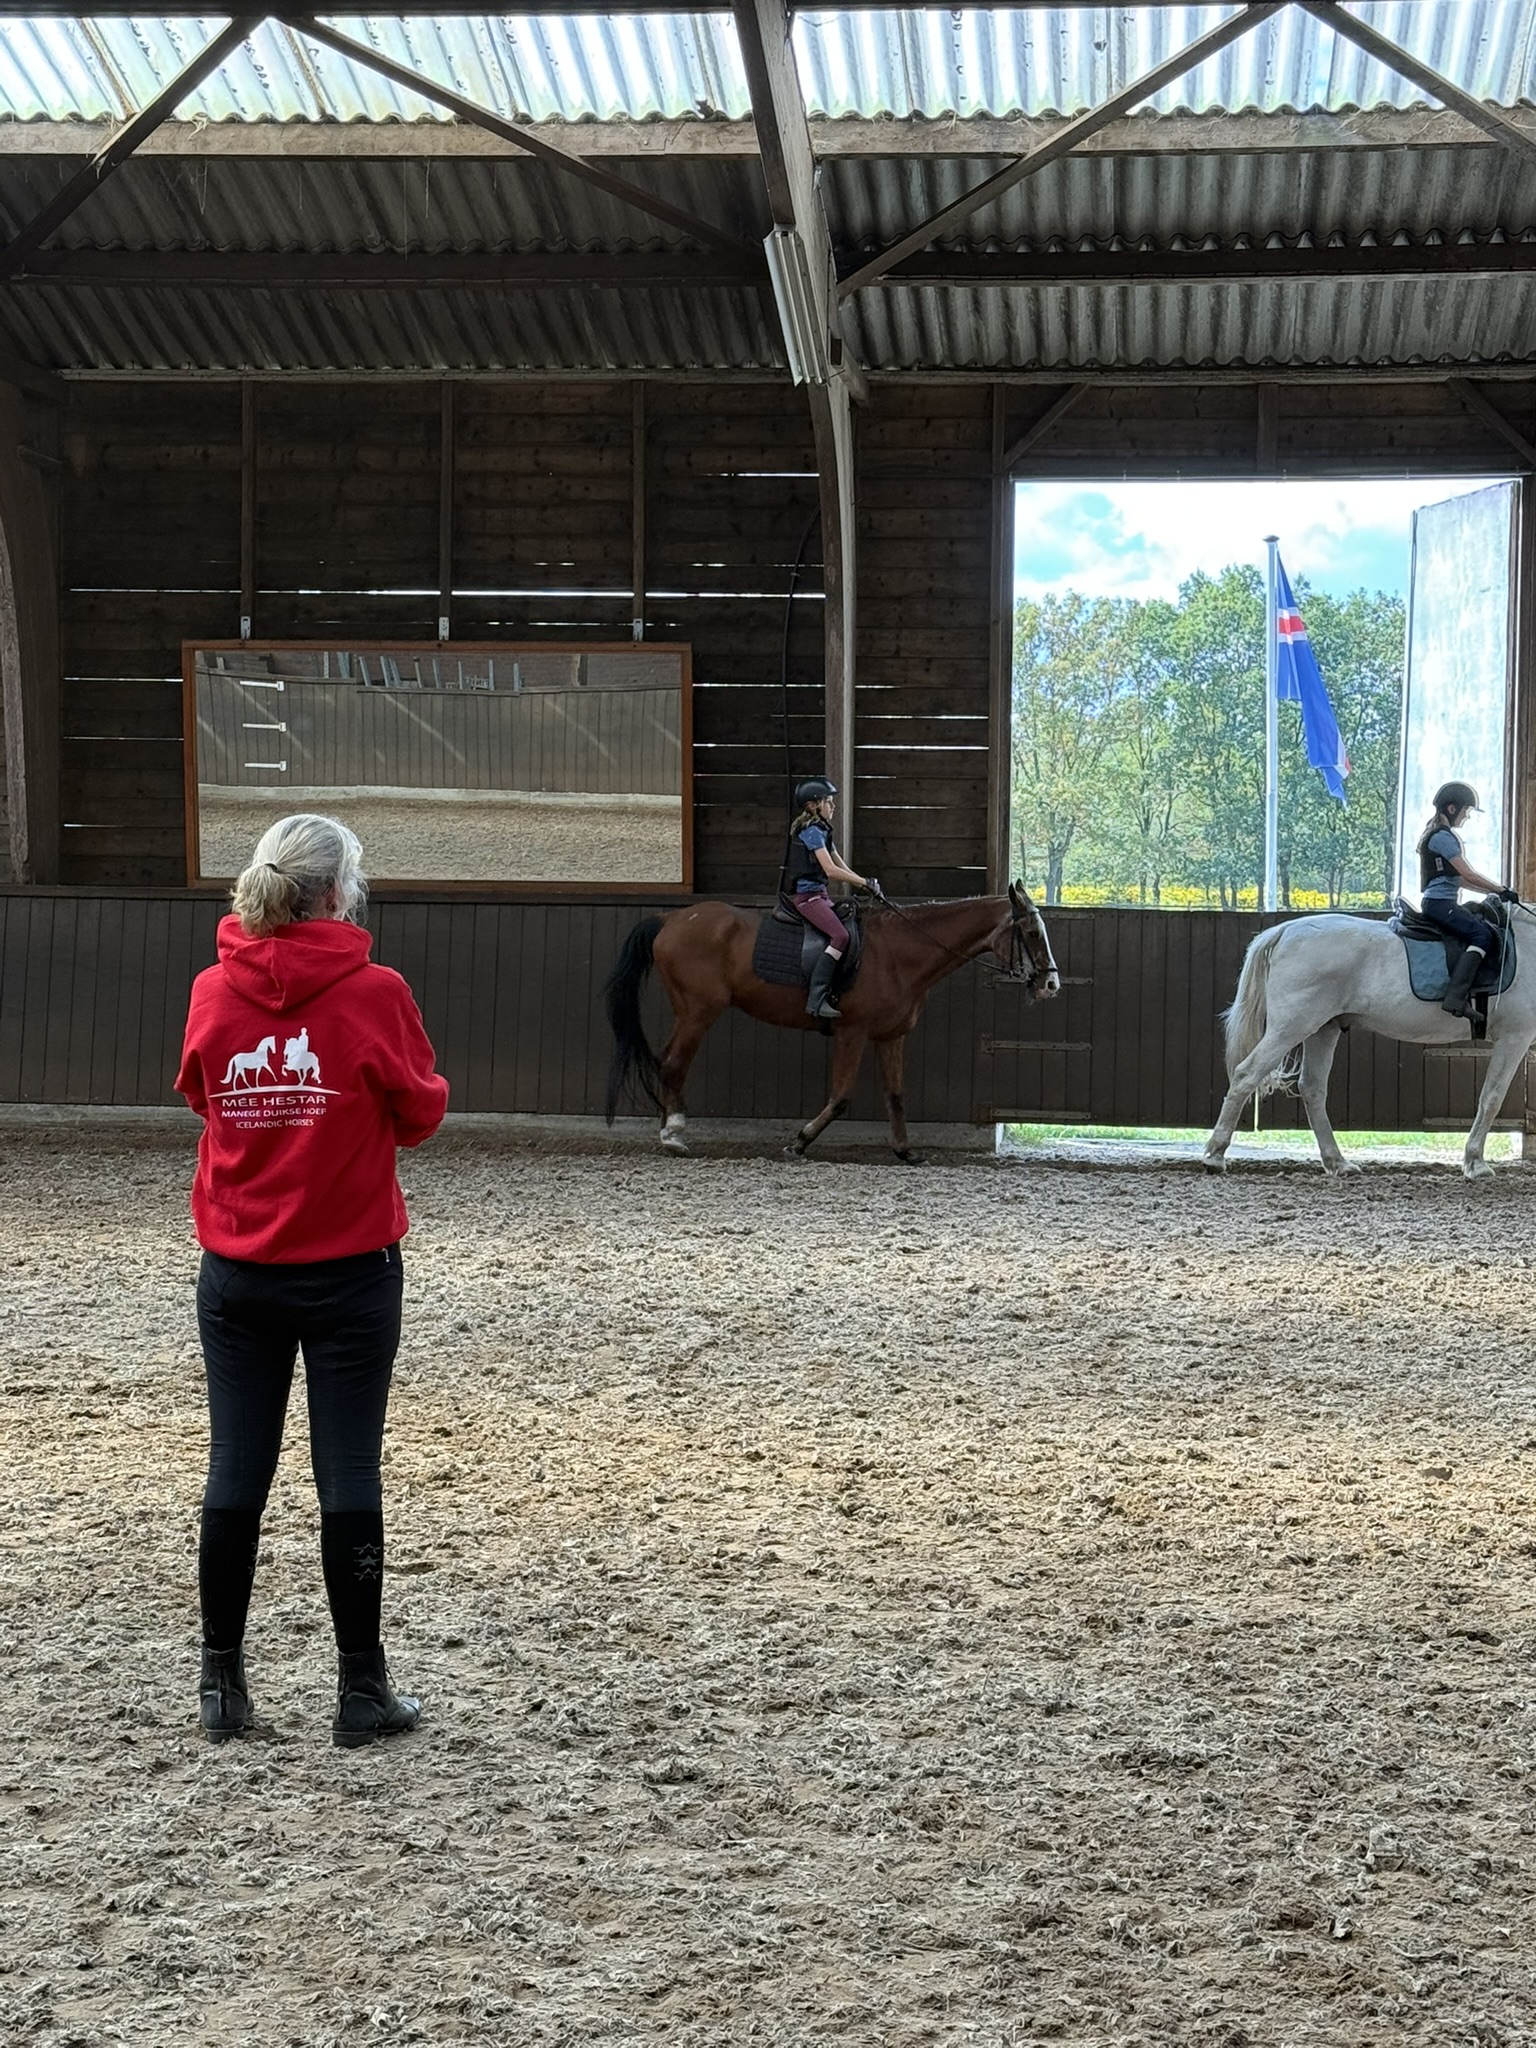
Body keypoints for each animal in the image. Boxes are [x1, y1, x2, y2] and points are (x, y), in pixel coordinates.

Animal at [603, 882, 1060, 1159]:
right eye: (1031, 933)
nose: (1051, 984)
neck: (900, 951)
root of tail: (672, 919)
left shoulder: (890, 1036)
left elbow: (897, 1095)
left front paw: (904, 1150)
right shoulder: (851, 1033)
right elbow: (840, 1097)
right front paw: (800, 1142)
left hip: (691, 1011)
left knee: (666, 1061)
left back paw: (669, 1127)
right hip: (698, 1011)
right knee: (673, 1063)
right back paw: (673, 1135)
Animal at [1203, 906, 1536, 1180]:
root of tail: (1285, 930)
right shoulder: (1514, 1037)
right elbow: (1491, 1097)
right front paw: (1475, 1163)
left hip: (1323, 1029)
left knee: (1312, 1088)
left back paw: (1337, 1162)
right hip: (1291, 1027)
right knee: (1247, 1074)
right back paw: (1215, 1155)